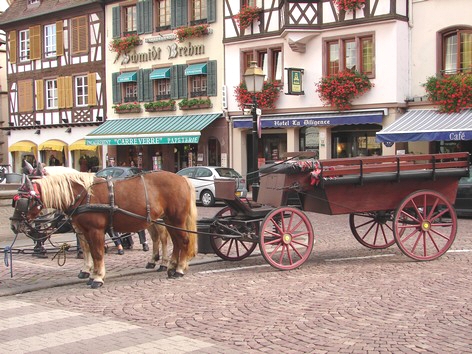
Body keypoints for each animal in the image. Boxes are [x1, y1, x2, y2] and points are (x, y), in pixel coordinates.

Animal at [16, 170, 197, 290]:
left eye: (23, 201)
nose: (14, 225)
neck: (84, 194)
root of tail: (182, 178)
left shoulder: (95, 230)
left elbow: (97, 253)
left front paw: (97, 278)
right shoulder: (84, 231)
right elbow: (89, 251)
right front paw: (90, 274)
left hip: (175, 220)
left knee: (182, 241)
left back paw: (179, 269)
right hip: (168, 220)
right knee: (175, 242)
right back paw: (170, 267)